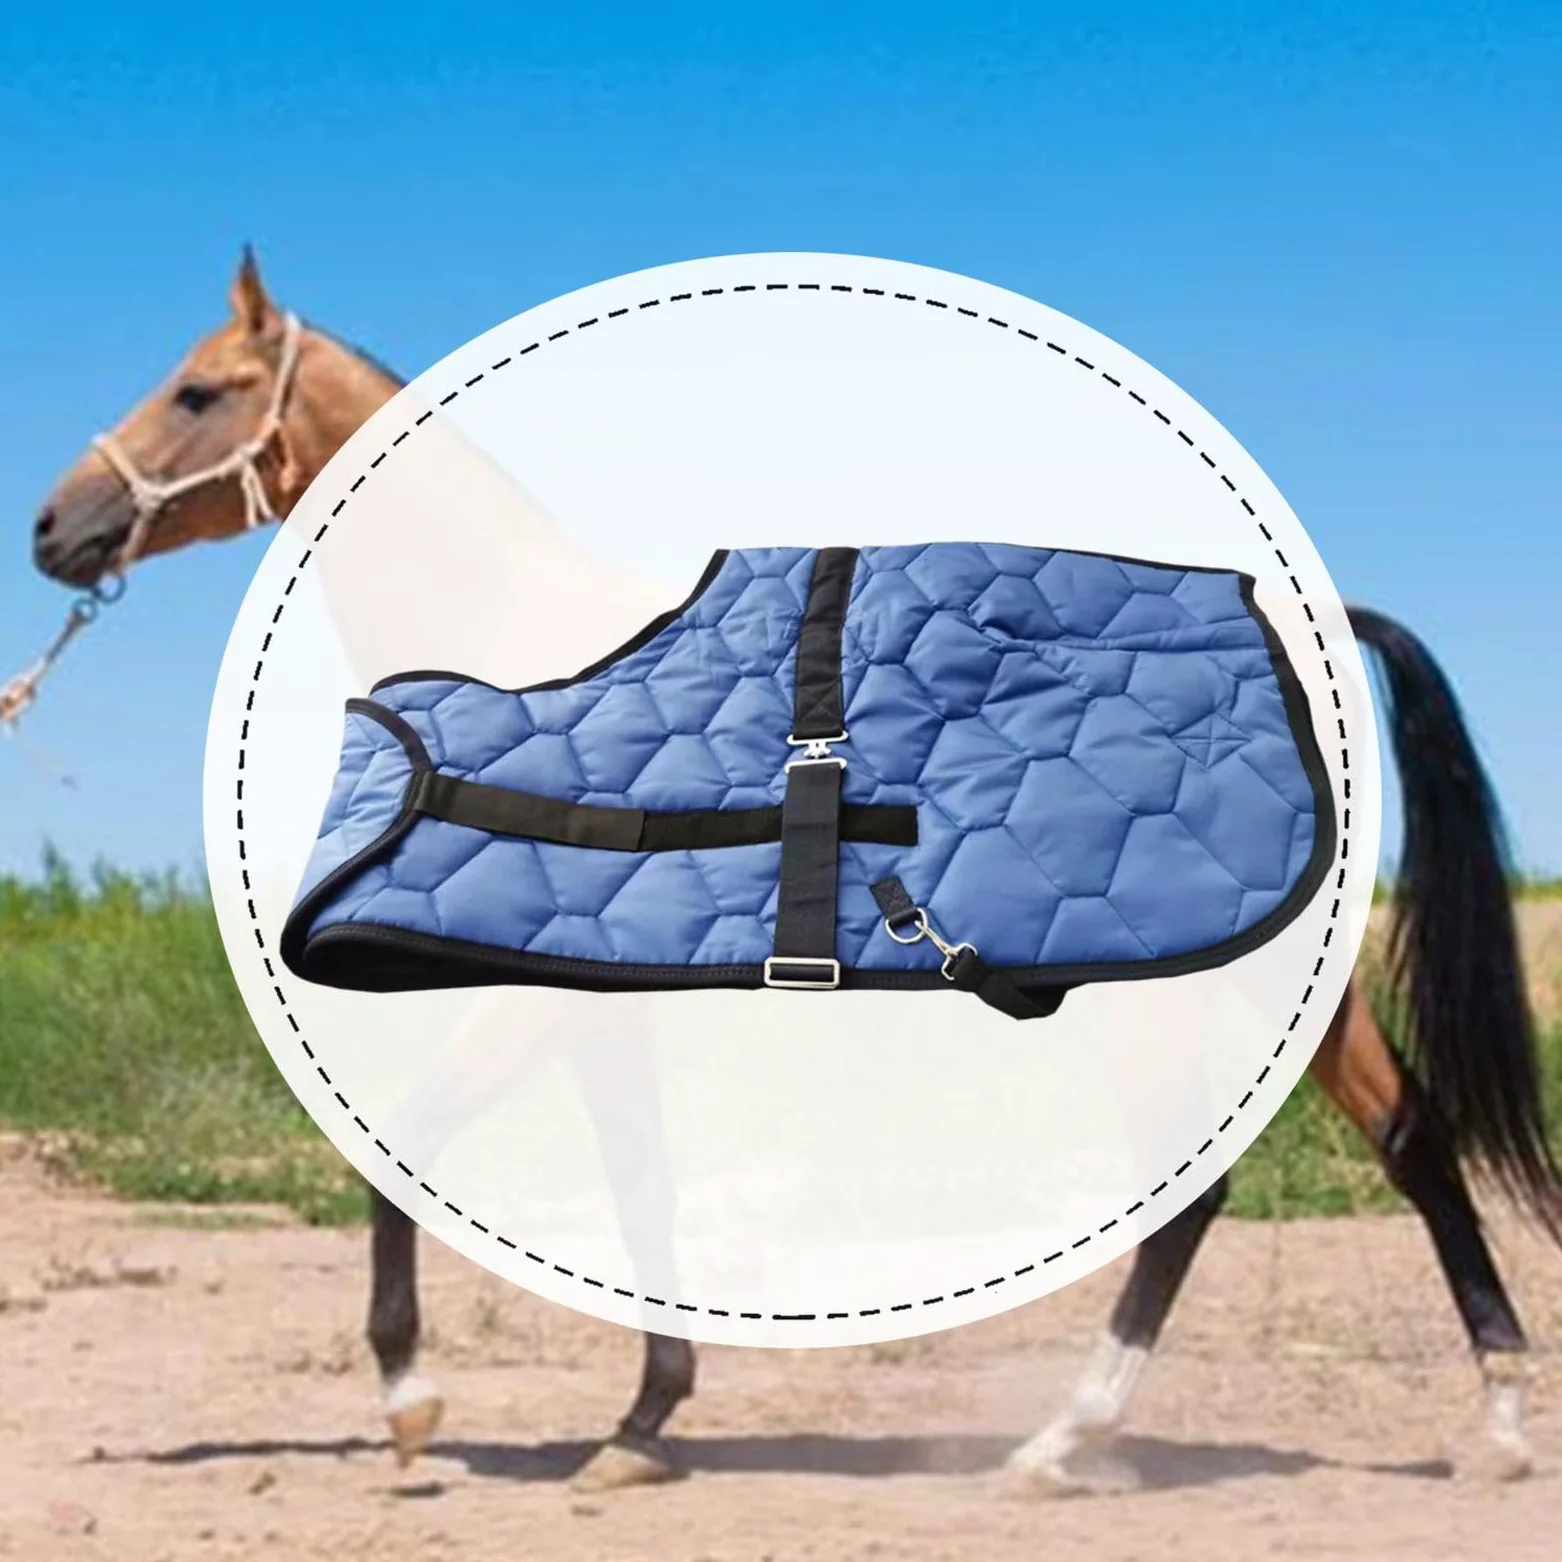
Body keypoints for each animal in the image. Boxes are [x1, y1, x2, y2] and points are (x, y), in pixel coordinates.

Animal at [24, 248, 1562, 1493]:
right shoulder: (590, 1009)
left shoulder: (519, 1002)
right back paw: (1488, 1423)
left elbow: (411, 1149)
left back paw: (1059, 1443)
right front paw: (641, 1424)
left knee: (1199, 1192)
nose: (53, 529)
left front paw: (413, 1404)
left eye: (200, 391)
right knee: (1411, 1138)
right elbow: (638, 1183)